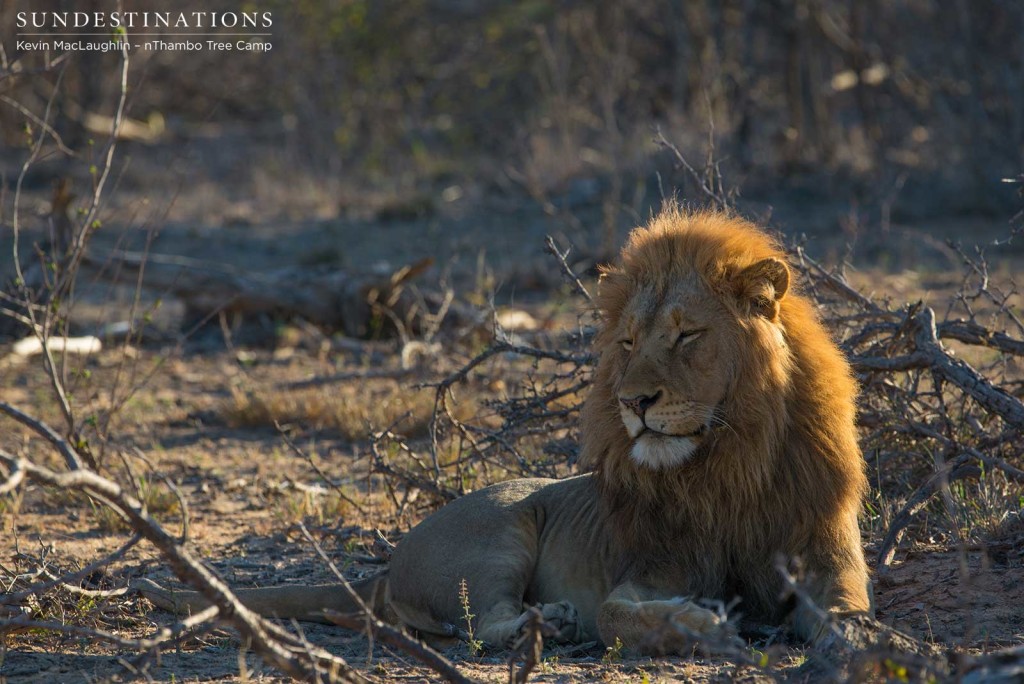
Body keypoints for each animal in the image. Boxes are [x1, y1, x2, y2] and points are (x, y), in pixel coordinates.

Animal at [138, 206, 872, 651]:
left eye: (688, 335)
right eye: (629, 342)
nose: (633, 401)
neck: (732, 460)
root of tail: (387, 564)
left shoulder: (827, 553)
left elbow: (850, 610)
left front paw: (866, 644)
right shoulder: (649, 569)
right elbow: (619, 613)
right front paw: (704, 627)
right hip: (500, 538)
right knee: (482, 623)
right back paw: (548, 622)